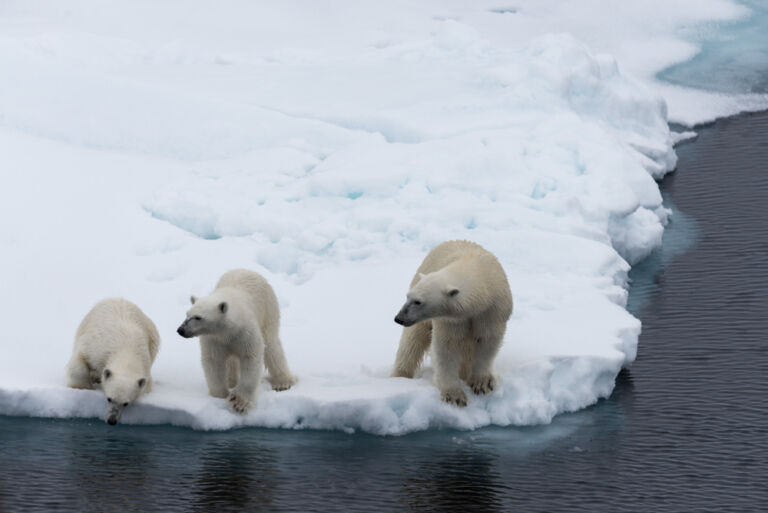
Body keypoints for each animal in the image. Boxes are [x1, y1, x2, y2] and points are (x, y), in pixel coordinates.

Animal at [66, 296, 160, 424]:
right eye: (109, 399)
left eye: (126, 403)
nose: (112, 420)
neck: (126, 350)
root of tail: (119, 298)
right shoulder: (96, 348)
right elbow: (80, 361)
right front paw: (82, 387)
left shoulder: (145, 362)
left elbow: (146, 386)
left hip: (152, 337)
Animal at [177, 268, 296, 412]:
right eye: (187, 314)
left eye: (198, 317)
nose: (181, 330)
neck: (228, 329)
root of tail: (247, 270)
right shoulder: (214, 339)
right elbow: (213, 362)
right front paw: (219, 396)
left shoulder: (245, 332)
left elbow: (250, 358)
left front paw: (239, 402)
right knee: (231, 361)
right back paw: (231, 381)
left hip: (268, 308)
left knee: (271, 344)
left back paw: (283, 382)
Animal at [392, 241, 512, 408]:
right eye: (407, 296)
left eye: (418, 301)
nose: (399, 318)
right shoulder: (451, 320)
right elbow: (447, 347)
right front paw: (454, 396)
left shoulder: (492, 311)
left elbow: (487, 341)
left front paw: (481, 383)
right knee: (411, 342)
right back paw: (399, 377)